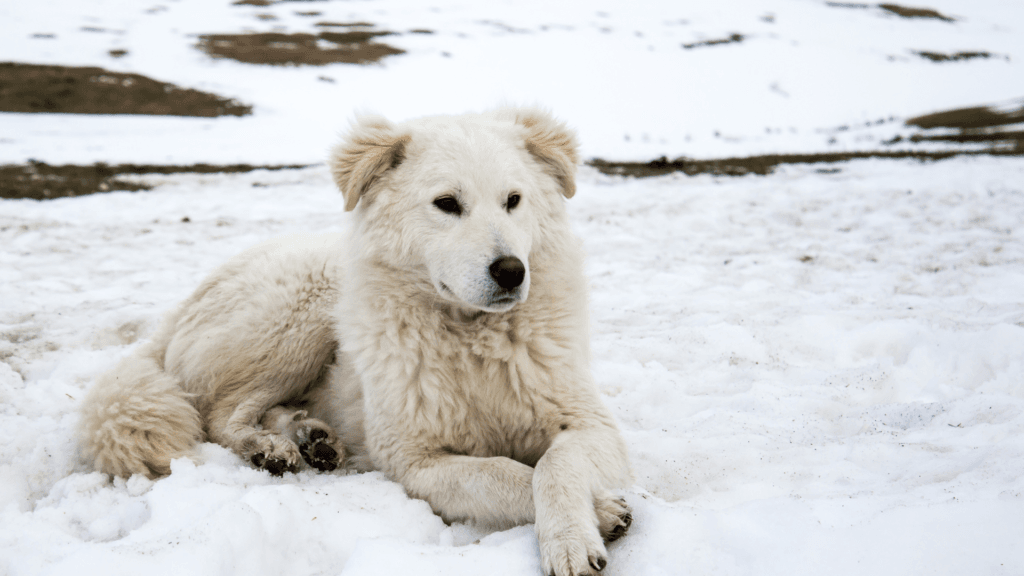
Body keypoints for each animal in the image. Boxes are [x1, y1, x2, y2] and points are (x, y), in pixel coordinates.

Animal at [79, 108, 634, 573]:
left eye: (514, 201)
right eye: (447, 204)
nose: (512, 272)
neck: (472, 338)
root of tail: (175, 315)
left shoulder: (591, 423)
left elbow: (555, 465)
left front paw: (575, 531)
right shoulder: (415, 460)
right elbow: (503, 474)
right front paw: (599, 513)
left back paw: (312, 437)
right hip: (299, 316)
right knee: (222, 412)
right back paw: (270, 448)